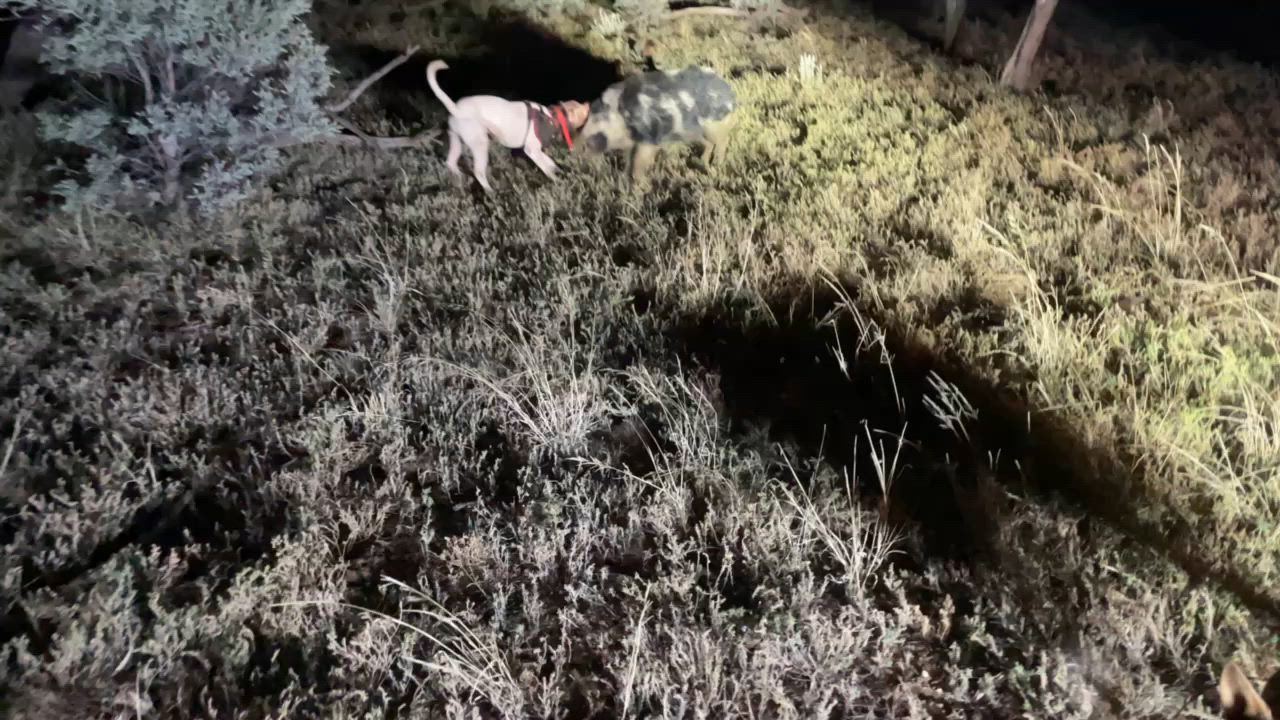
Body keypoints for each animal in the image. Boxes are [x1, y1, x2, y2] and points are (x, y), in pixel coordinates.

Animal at [575, 65, 737, 187]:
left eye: (599, 126)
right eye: (583, 126)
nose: (578, 150)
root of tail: (731, 95)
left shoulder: (648, 140)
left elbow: (639, 165)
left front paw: (641, 187)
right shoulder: (630, 145)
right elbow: (629, 164)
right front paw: (624, 182)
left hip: (715, 126)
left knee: (723, 141)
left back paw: (717, 165)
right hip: (696, 132)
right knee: (709, 144)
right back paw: (702, 162)